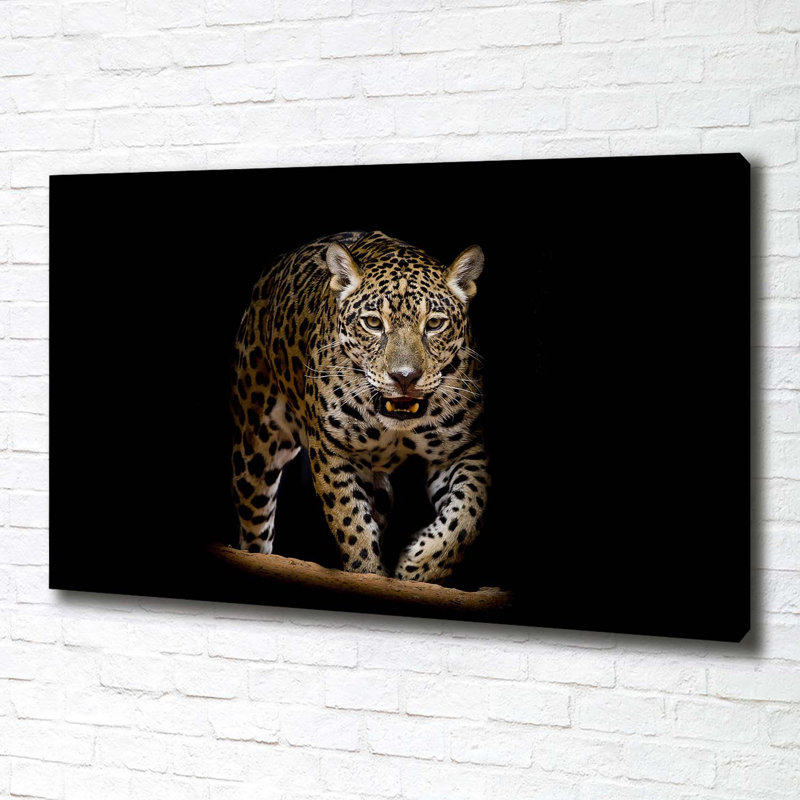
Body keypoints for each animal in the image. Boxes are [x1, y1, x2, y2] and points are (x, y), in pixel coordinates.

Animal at [231, 230, 489, 583]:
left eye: (435, 323)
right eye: (373, 323)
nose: (404, 377)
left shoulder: (462, 449)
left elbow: (467, 513)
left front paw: (418, 565)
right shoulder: (332, 450)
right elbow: (349, 520)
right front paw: (367, 571)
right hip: (256, 445)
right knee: (255, 524)